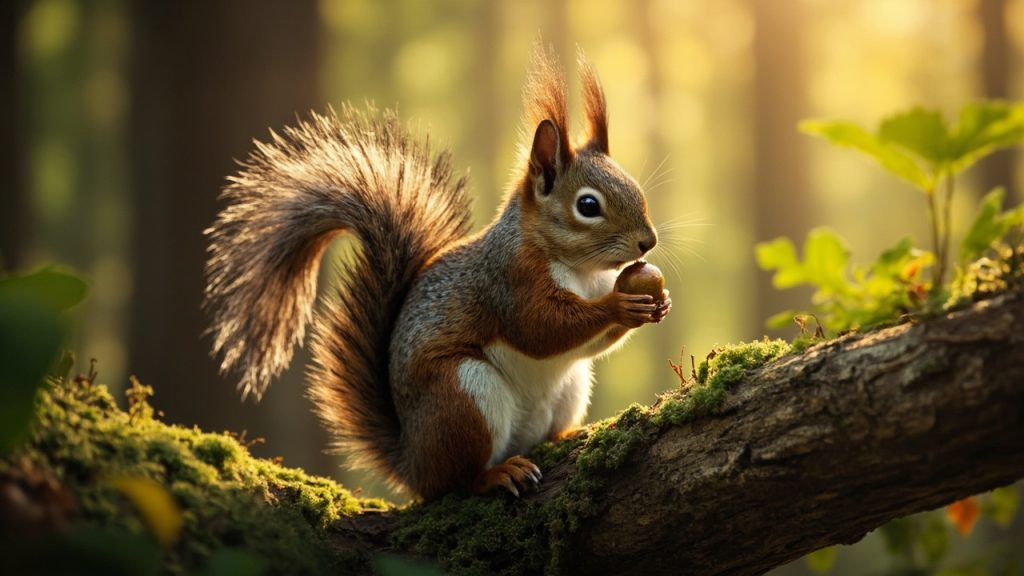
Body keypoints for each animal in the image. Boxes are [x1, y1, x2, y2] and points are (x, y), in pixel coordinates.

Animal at [204, 45, 671, 500]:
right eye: (588, 205)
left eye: (635, 187)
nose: (647, 241)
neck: (580, 270)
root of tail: (412, 462)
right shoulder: (509, 280)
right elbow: (541, 328)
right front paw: (619, 304)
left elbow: (588, 341)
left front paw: (658, 303)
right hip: (463, 394)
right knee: (456, 480)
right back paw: (496, 474)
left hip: (569, 387)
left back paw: (566, 435)